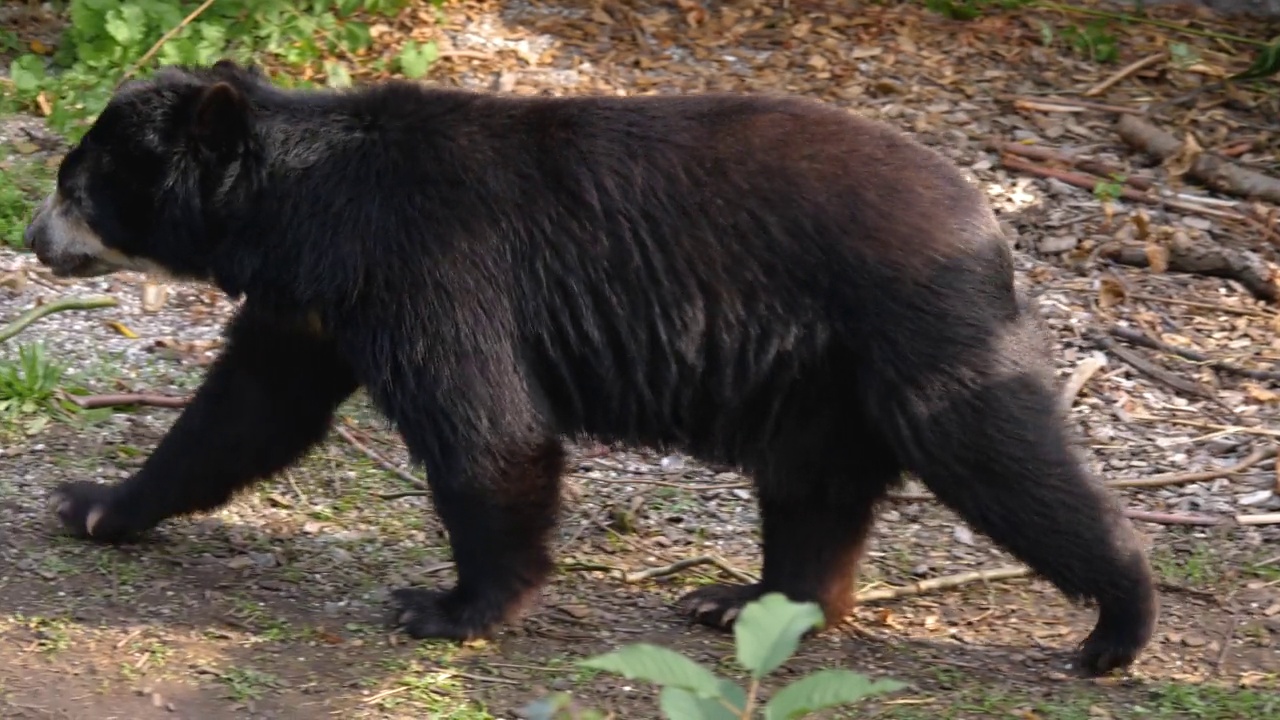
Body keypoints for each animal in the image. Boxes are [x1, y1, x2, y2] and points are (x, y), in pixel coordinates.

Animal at [22, 60, 1162, 671]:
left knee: (995, 453)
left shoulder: (424, 266)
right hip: (818, 379)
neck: (305, 211)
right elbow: (244, 412)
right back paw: (747, 600)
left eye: (75, 183)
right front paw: (93, 503)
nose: (32, 239)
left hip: (913, 331)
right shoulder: (313, 308)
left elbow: (487, 427)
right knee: (812, 488)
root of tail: (987, 221)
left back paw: (1118, 621)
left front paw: (449, 606)